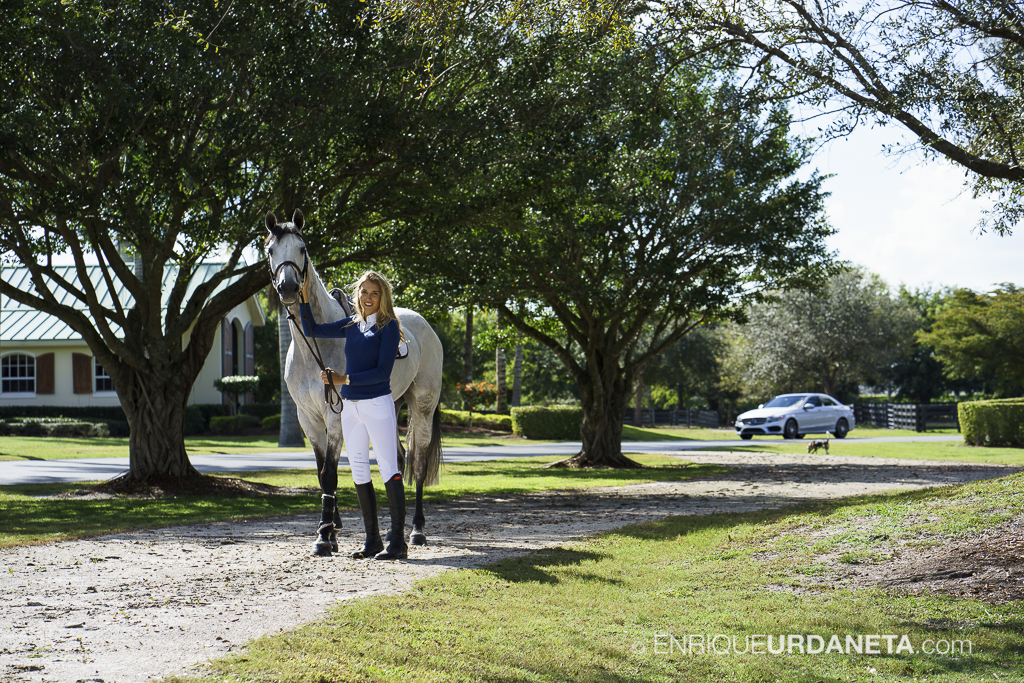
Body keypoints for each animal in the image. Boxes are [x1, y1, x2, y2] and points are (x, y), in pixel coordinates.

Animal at [264, 210, 444, 557]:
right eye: (270, 250)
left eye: (303, 248)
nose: (289, 287)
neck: (314, 344)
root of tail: (425, 325)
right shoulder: (307, 419)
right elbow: (322, 473)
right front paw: (331, 531)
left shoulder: (334, 416)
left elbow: (330, 474)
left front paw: (324, 536)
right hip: (392, 406)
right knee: (396, 460)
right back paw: (391, 532)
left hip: (422, 408)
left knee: (417, 462)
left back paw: (416, 530)